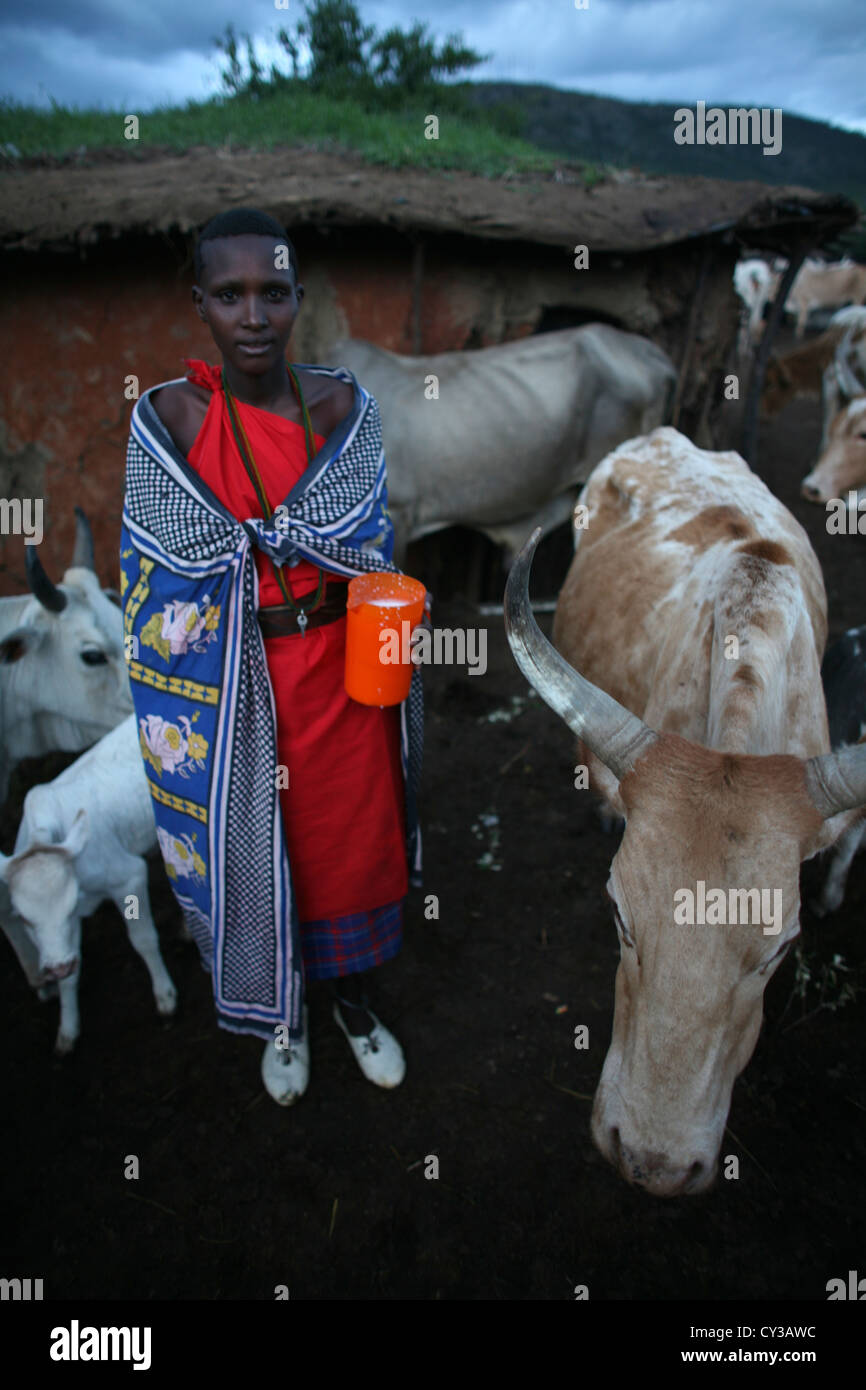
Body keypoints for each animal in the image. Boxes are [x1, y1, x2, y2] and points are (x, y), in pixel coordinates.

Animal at [0, 717, 176, 1050]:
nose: (57, 966)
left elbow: (143, 940)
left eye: (70, 906)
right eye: (25, 919)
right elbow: (70, 972)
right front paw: (67, 1030)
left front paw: (165, 995)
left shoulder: (128, 876)